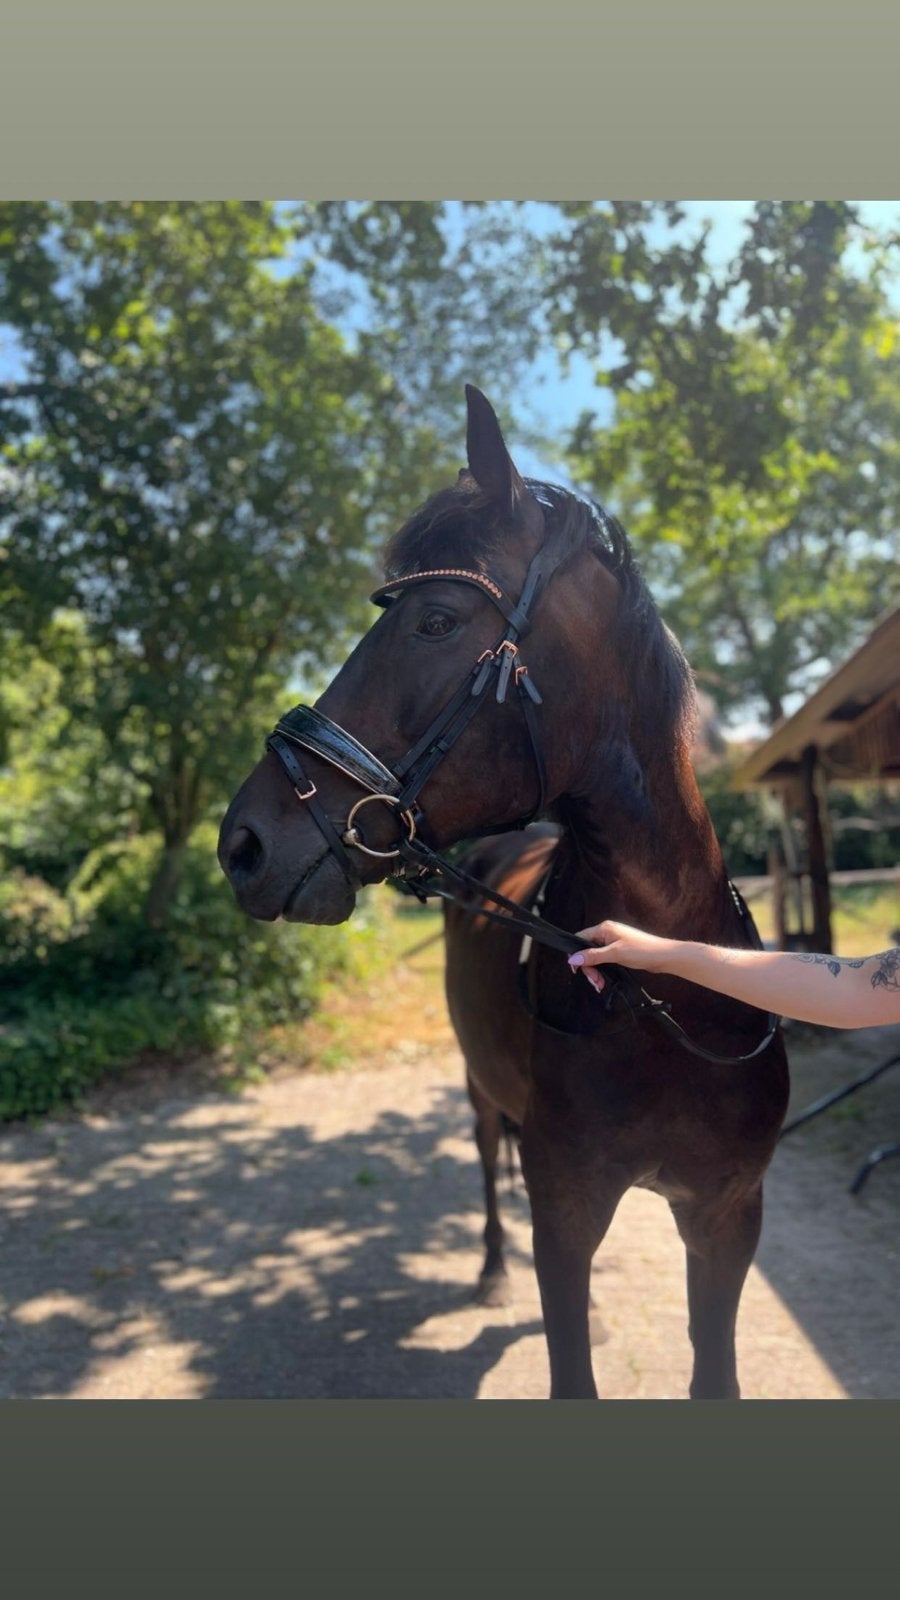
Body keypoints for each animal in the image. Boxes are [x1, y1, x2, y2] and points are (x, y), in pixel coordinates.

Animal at [218, 385, 789, 1399]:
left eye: (437, 621)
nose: (243, 843)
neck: (669, 995)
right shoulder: (567, 1208)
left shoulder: (728, 1214)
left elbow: (712, 1374)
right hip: (482, 1082)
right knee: (491, 1153)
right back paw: (490, 1269)